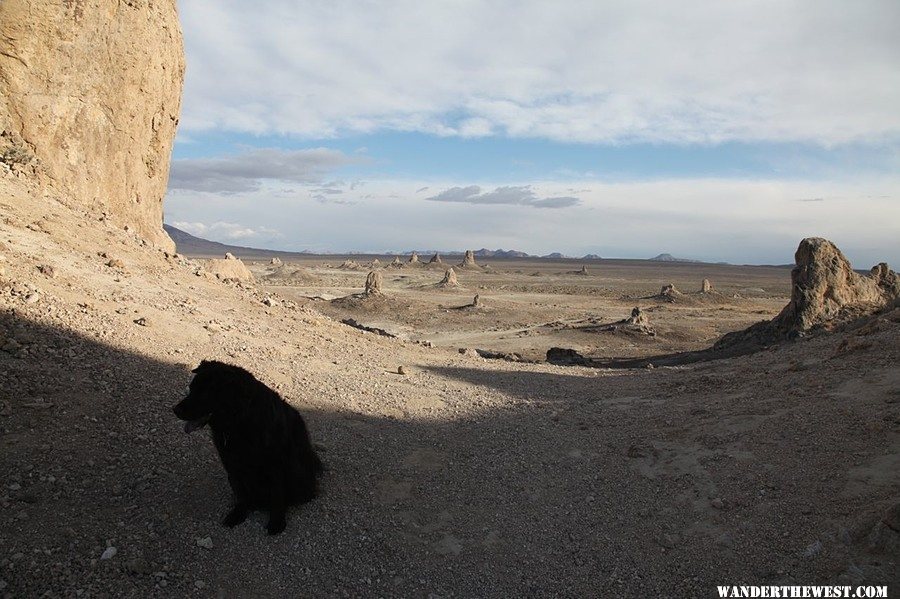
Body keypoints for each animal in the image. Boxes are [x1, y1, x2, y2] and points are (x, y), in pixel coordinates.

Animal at [171, 360, 322, 536]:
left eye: (204, 393)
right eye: (191, 388)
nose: (175, 410)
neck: (239, 424)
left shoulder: (276, 466)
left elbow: (277, 495)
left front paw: (276, 523)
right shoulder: (232, 466)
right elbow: (241, 494)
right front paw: (238, 515)